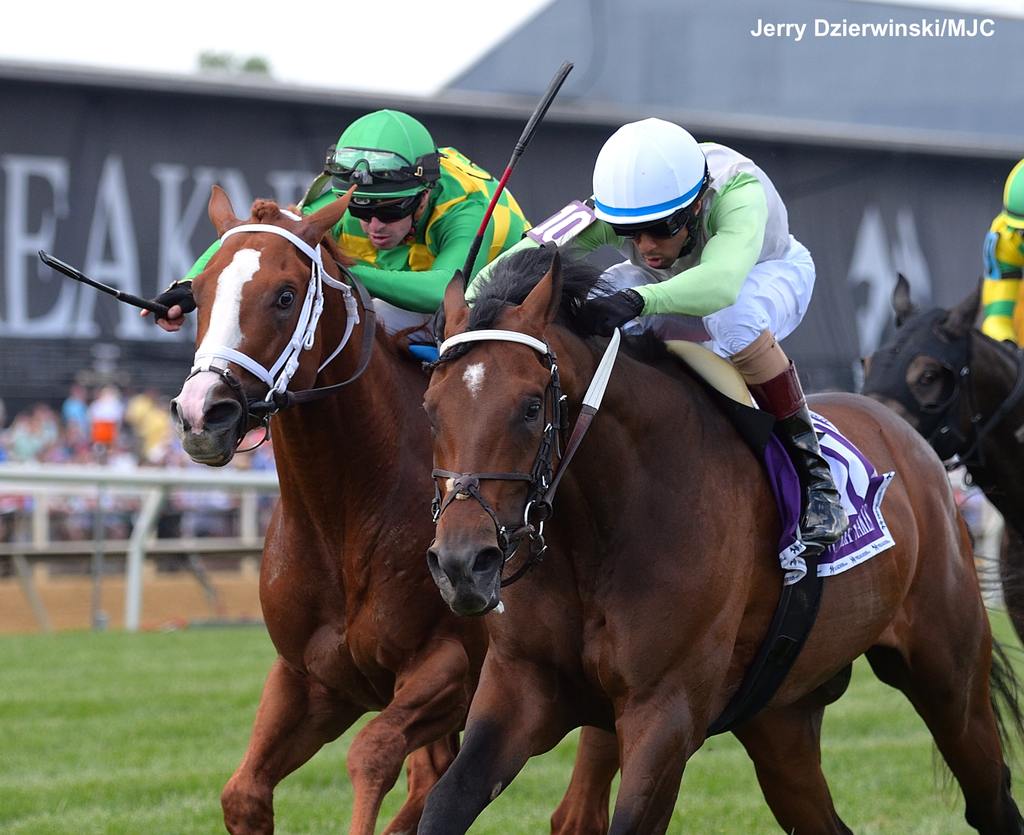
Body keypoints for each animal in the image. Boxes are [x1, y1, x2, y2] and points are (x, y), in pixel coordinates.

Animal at [417, 247, 1024, 835]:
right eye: (429, 408)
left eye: (530, 407)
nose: (463, 564)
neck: (596, 540)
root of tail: (909, 438)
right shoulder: (520, 687)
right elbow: (443, 805)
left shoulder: (666, 711)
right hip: (781, 718)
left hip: (949, 680)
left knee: (991, 802)